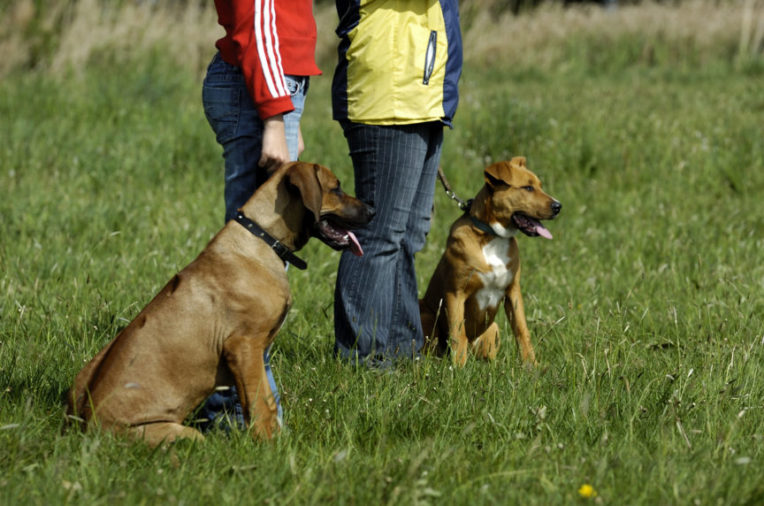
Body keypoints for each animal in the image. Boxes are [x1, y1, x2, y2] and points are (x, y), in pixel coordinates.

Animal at [66, 163, 376, 446]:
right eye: (336, 188)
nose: (373, 210)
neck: (262, 238)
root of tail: (84, 429)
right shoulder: (243, 346)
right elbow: (259, 405)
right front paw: (269, 448)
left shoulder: (255, 352)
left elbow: (264, 401)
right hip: (175, 433)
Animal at [420, 156, 560, 366]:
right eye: (528, 188)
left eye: (540, 186)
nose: (558, 206)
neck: (493, 236)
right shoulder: (455, 293)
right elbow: (458, 334)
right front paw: (458, 369)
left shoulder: (513, 292)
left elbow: (522, 331)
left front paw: (531, 365)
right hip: (426, 316)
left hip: (493, 329)